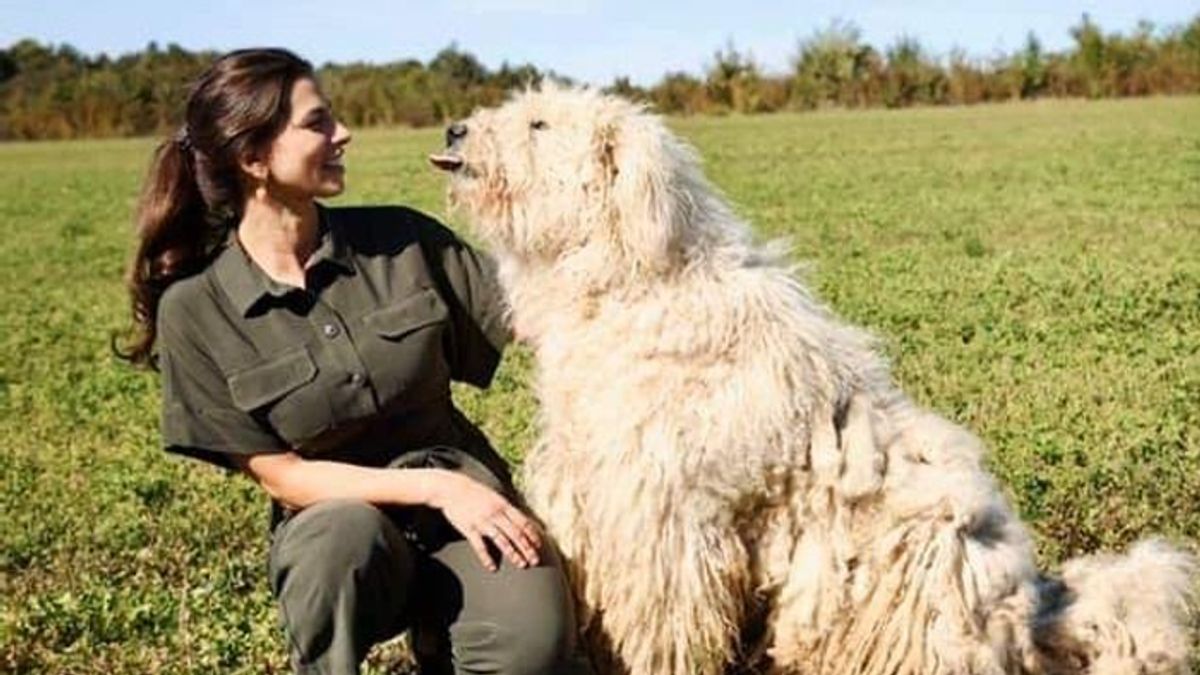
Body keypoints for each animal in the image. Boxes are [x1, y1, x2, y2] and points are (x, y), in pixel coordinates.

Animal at [429, 85, 1190, 672]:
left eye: (539, 124)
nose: (453, 127)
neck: (634, 284)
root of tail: (1030, 622)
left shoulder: (664, 519)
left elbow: (658, 625)